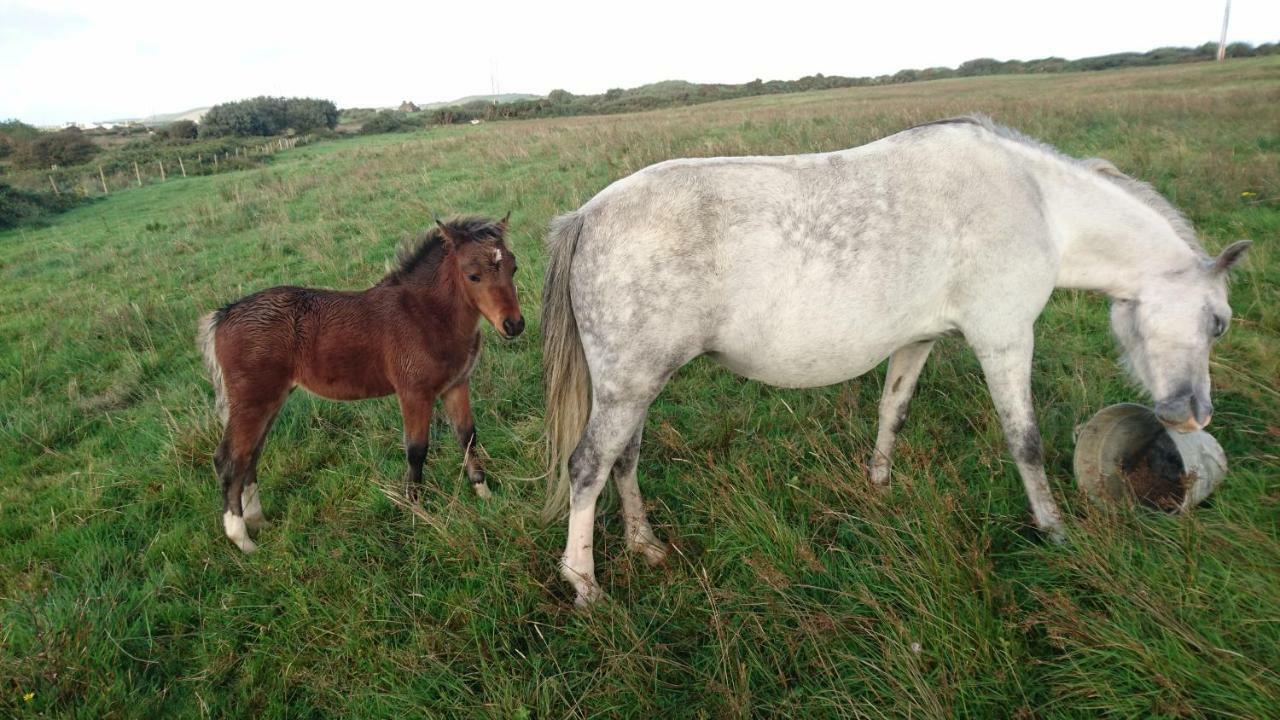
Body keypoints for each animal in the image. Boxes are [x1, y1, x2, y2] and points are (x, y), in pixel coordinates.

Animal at [195, 212, 524, 548]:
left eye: (513, 267)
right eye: (473, 275)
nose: (513, 325)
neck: (425, 314)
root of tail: (222, 316)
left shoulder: (456, 385)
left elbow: (468, 435)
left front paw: (484, 494)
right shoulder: (413, 392)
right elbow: (417, 449)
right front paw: (416, 510)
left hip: (270, 400)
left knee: (250, 455)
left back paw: (258, 521)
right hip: (252, 400)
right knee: (230, 460)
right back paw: (243, 540)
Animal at [540, 116, 1249, 604]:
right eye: (1218, 321)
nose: (1192, 415)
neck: (1039, 206)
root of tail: (588, 215)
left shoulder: (919, 339)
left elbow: (893, 410)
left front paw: (879, 485)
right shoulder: (1004, 338)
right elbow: (1025, 442)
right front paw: (1053, 528)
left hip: (638, 383)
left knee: (623, 459)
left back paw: (645, 545)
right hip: (631, 383)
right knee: (589, 466)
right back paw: (585, 585)